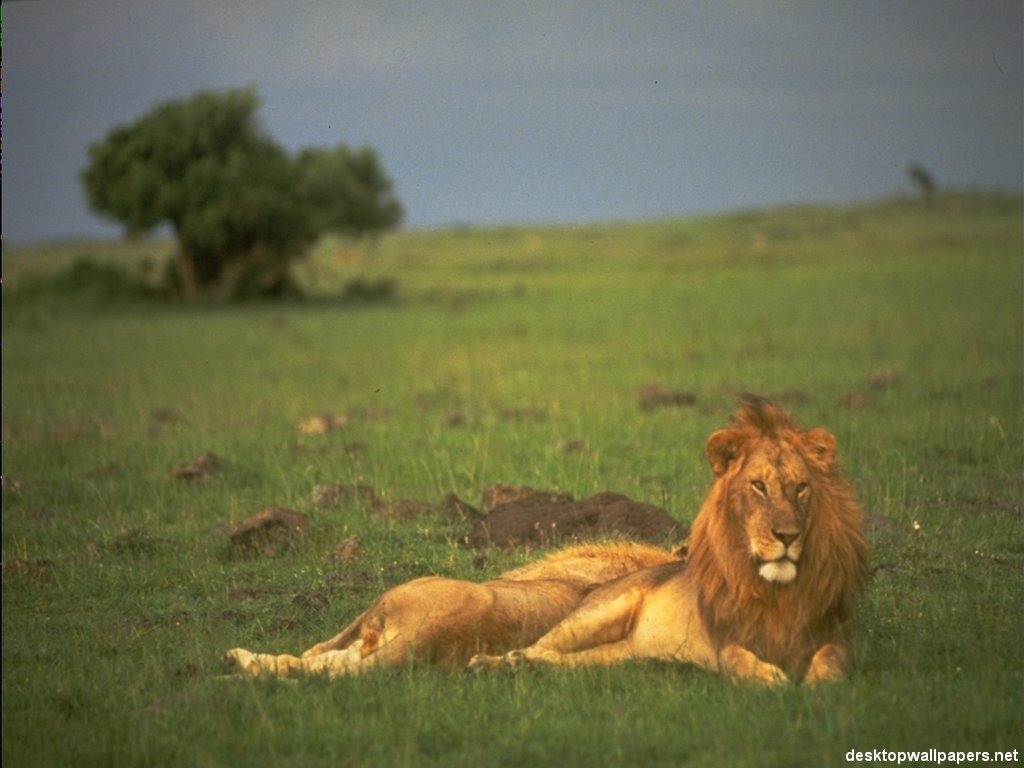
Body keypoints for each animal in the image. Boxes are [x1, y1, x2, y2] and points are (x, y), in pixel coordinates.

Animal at [468, 397, 864, 684]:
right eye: (758, 486)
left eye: (802, 487)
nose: (787, 536)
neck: (778, 591)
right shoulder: (724, 641)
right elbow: (739, 659)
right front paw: (772, 678)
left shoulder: (838, 636)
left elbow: (831, 662)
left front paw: (817, 685)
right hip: (588, 620)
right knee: (537, 645)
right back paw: (494, 663)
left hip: (616, 656)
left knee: (562, 660)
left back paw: (524, 666)